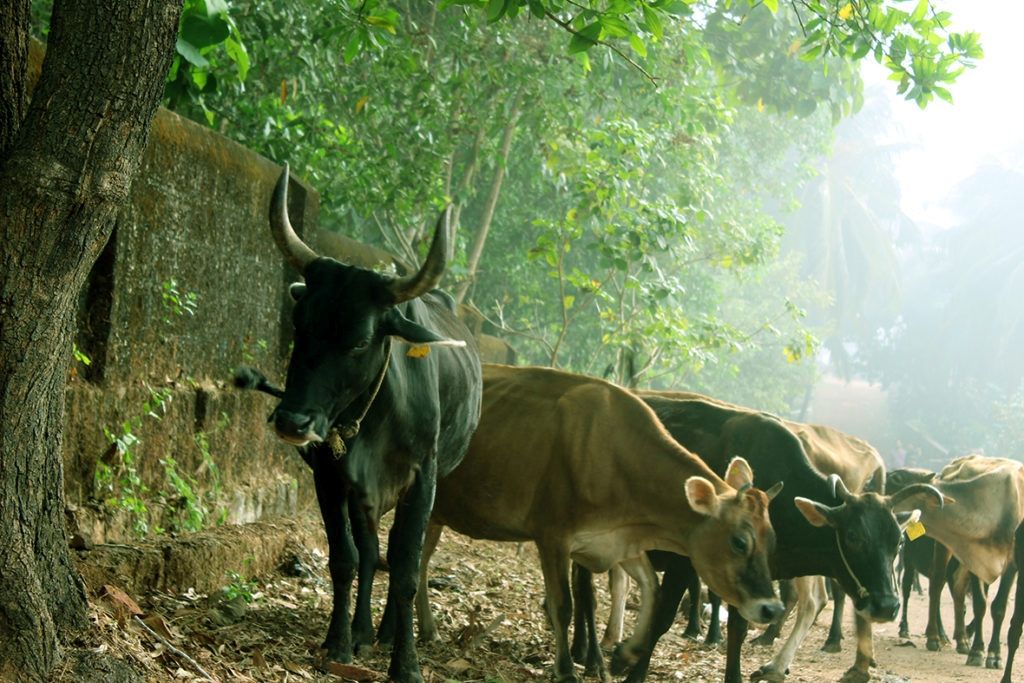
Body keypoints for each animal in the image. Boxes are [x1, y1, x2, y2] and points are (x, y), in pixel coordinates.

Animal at [261, 165, 482, 683]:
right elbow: (346, 557)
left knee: (401, 556)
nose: (293, 421)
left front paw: (406, 665)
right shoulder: (330, 475)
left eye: (360, 340)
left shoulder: (421, 479)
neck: (375, 414)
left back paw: (384, 632)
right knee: (367, 550)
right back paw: (362, 631)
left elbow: (404, 569)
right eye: (300, 324)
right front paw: (340, 642)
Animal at [414, 364, 786, 683]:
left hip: (437, 511)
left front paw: (626, 654)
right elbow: (563, 605)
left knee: (422, 559)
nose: (772, 607)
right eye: (739, 541)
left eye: (772, 541)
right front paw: (567, 669)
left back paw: (428, 628)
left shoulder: (616, 542)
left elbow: (651, 590)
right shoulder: (553, 535)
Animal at [571, 393, 943, 683]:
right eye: (852, 536)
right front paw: (634, 670)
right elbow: (662, 617)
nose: (886, 605)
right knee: (585, 593)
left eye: (898, 542)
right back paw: (588, 656)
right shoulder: (684, 563)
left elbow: (738, 628)